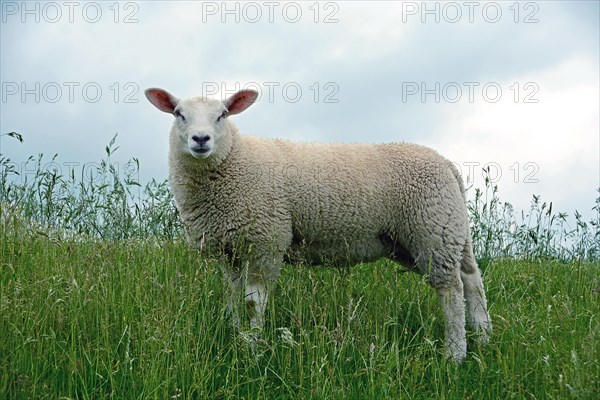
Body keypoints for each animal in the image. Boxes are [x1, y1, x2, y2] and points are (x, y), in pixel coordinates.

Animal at [145, 87, 492, 362]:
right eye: (179, 114)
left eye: (222, 115)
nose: (200, 139)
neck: (234, 161)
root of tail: (447, 164)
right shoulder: (228, 249)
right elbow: (231, 297)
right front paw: (234, 335)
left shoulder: (267, 241)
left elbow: (253, 303)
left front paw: (253, 350)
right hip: (434, 235)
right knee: (471, 279)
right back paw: (484, 338)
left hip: (432, 229)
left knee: (451, 291)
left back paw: (455, 354)